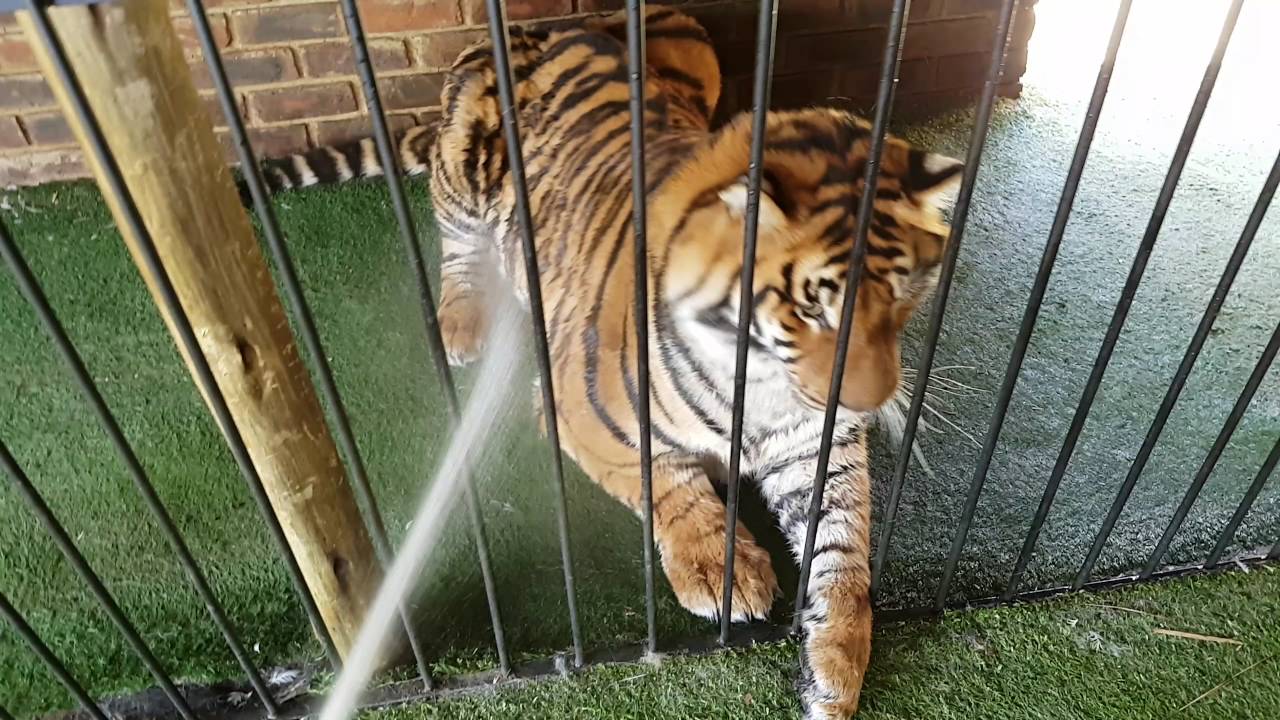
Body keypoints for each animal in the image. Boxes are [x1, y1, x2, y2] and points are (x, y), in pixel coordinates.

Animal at [248, 7, 963, 718]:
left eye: (905, 293)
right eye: (811, 307)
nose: (871, 402)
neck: (760, 385)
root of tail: (540, 27)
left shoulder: (817, 441)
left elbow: (843, 548)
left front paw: (835, 668)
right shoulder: (578, 412)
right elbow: (664, 481)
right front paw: (720, 573)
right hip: (462, 165)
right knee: (455, 241)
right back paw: (462, 324)